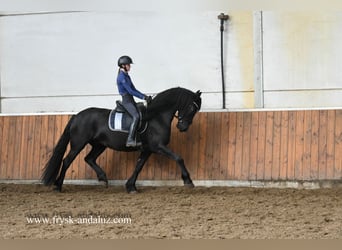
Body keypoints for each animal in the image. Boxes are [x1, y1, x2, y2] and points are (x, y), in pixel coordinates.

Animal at [42, 87, 203, 192]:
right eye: (192, 108)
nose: (183, 127)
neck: (157, 116)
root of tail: (77, 116)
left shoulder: (147, 149)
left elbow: (139, 166)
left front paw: (131, 186)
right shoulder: (158, 147)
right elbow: (179, 158)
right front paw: (188, 181)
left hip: (99, 145)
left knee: (89, 159)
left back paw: (103, 178)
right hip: (78, 144)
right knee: (67, 161)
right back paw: (58, 186)